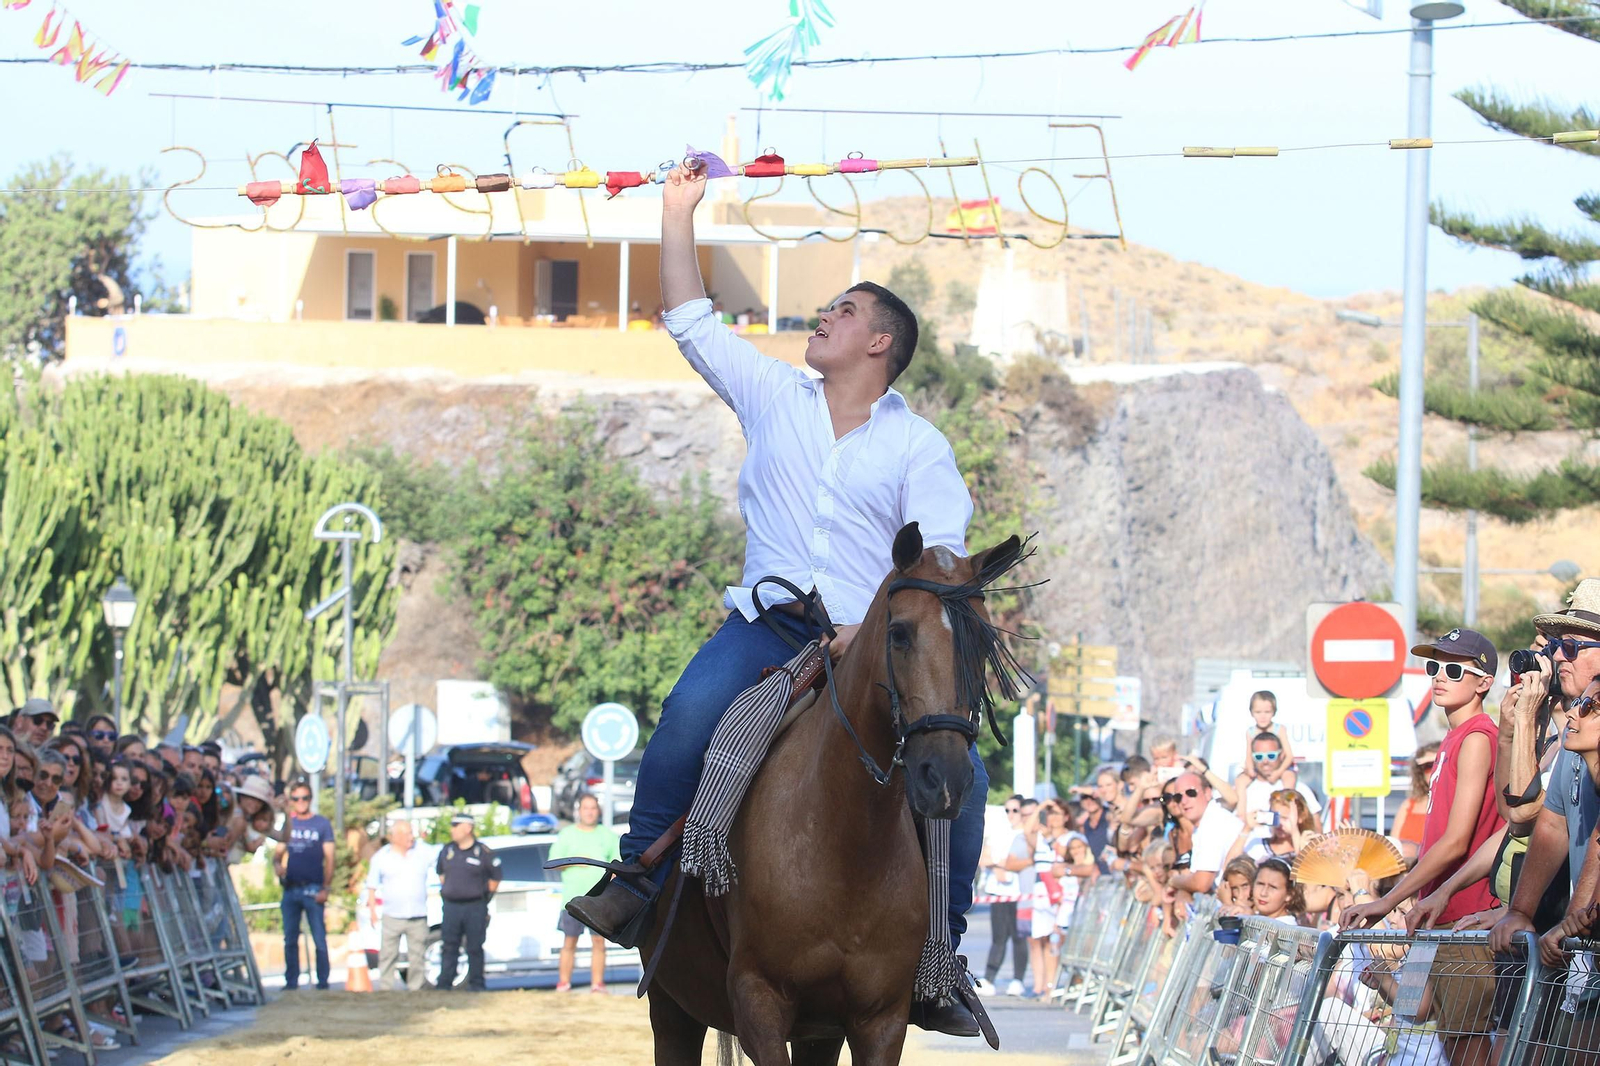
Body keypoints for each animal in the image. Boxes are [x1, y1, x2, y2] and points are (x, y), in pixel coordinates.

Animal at [640, 522, 1026, 1066]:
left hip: (816, 1032)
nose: (946, 780)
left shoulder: (879, 1020)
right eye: (899, 633)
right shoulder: (758, 1003)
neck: (844, 840)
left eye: (984, 642)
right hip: (672, 1007)